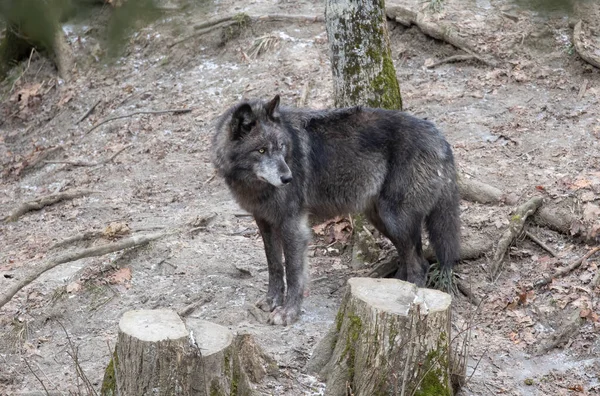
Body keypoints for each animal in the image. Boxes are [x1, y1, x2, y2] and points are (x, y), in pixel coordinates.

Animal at [213, 96, 462, 324]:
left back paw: (410, 300)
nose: (288, 178)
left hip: (395, 219)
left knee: (420, 264)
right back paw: (393, 286)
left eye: (281, 147)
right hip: (381, 219)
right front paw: (272, 301)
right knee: (408, 257)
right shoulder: (264, 221)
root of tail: (440, 136)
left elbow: (293, 272)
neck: (254, 186)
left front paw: (288, 313)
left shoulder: (293, 225)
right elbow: (274, 265)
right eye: (261, 150)